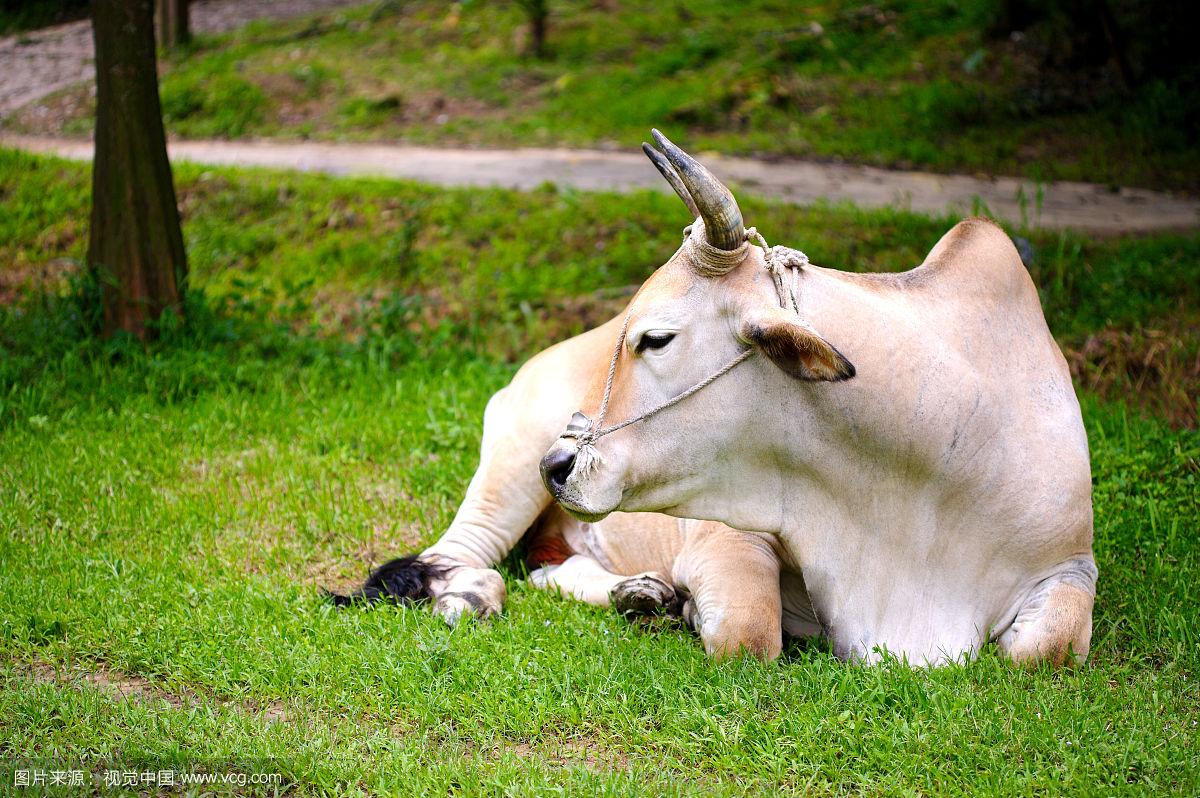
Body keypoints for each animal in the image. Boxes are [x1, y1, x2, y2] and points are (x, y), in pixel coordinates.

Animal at [328, 307, 816, 657]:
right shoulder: (724, 536)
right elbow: (750, 635)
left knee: (550, 568)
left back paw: (641, 593)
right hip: (520, 457)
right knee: (455, 552)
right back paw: (469, 598)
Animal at [540, 130, 1099, 667]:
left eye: (656, 339)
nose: (556, 465)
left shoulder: (1072, 563)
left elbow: (1048, 649)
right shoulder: (728, 529)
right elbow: (748, 635)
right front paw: (694, 610)